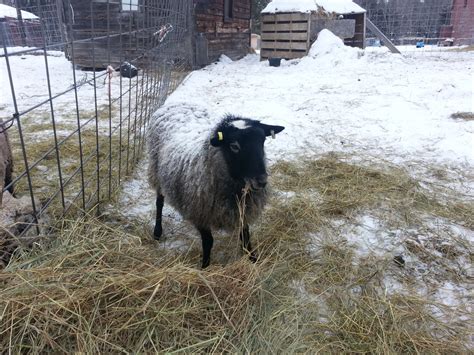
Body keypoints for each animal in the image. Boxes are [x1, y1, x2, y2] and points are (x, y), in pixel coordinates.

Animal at [146, 103, 284, 268]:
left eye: (262, 141)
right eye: (234, 146)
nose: (261, 180)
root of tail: (176, 103)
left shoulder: (242, 210)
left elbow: (245, 236)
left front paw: (253, 259)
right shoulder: (200, 212)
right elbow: (208, 242)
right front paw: (204, 266)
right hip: (156, 171)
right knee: (159, 202)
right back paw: (157, 232)